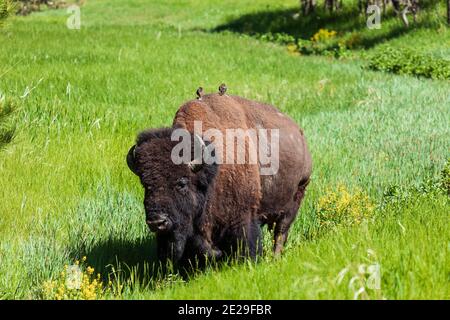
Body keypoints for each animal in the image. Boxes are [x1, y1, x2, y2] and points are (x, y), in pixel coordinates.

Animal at [125, 85, 312, 264]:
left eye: (182, 183)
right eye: (145, 184)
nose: (157, 222)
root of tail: (299, 133)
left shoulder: (243, 217)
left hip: (295, 199)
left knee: (280, 233)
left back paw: (275, 258)